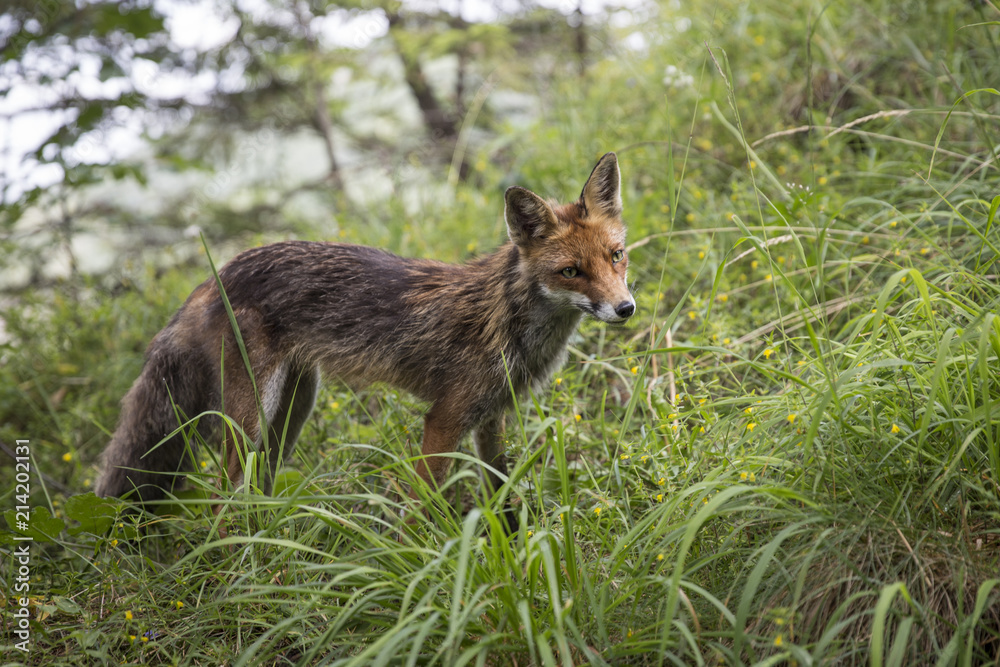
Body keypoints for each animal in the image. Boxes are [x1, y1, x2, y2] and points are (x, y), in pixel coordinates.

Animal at [95, 152, 635, 532]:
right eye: (571, 271)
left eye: (616, 256)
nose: (626, 308)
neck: (504, 320)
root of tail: (218, 273)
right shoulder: (444, 419)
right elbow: (422, 504)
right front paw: (423, 561)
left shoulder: (491, 415)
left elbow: (499, 489)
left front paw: (514, 544)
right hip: (251, 415)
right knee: (221, 497)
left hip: (294, 409)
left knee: (257, 483)